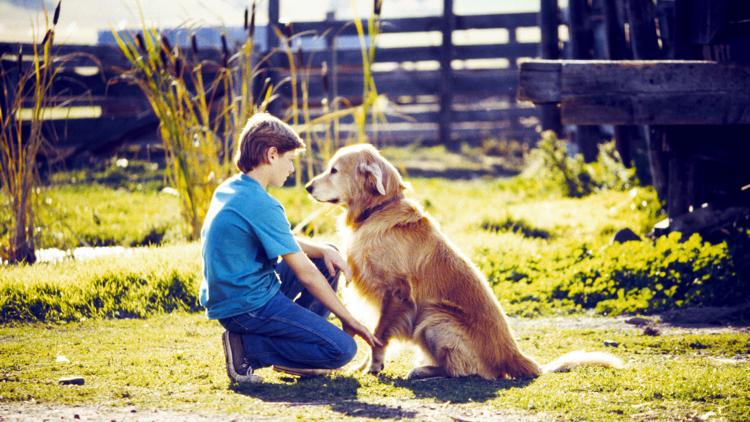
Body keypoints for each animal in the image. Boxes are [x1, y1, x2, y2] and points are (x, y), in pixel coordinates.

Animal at [306, 144, 624, 380]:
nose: (307, 187)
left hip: (435, 317)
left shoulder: (396, 292)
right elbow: (375, 333)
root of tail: (514, 355)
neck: (378, 209)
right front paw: (363, 366)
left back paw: (426, 372)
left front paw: (373, 367)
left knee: (465, 372)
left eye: (333, 170)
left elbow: (379, 335)